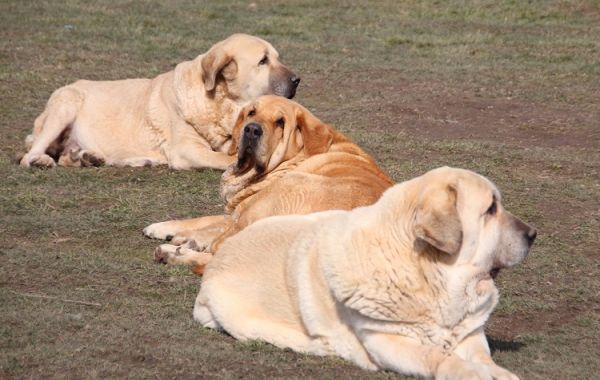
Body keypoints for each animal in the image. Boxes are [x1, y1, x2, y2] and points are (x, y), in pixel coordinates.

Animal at [18, 33, 300, 170]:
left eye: (277, 57)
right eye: (263, 61)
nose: (297, 79)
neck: (222, 102)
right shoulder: (187, 149)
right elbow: (224, 159)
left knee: (66, 157)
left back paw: (88, 158)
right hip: (66, 103)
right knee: (28, 157)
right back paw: (42, 160)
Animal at [144, 95, 396, 274]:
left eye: (281, 122)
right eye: (252, 112)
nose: (252, 129)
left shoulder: (250, 209)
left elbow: (219, 229)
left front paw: (186, 241)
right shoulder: (239, 210)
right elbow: (208, 220)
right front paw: (165, 228)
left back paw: (177, 254)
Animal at [192, 167, 536, 380]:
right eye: (490, 209)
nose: (533, 234)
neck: (431, 275)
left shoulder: (470, 333)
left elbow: (483, 356)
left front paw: (498, 372)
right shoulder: (386, 341)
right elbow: (436, 356)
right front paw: (468, 371)